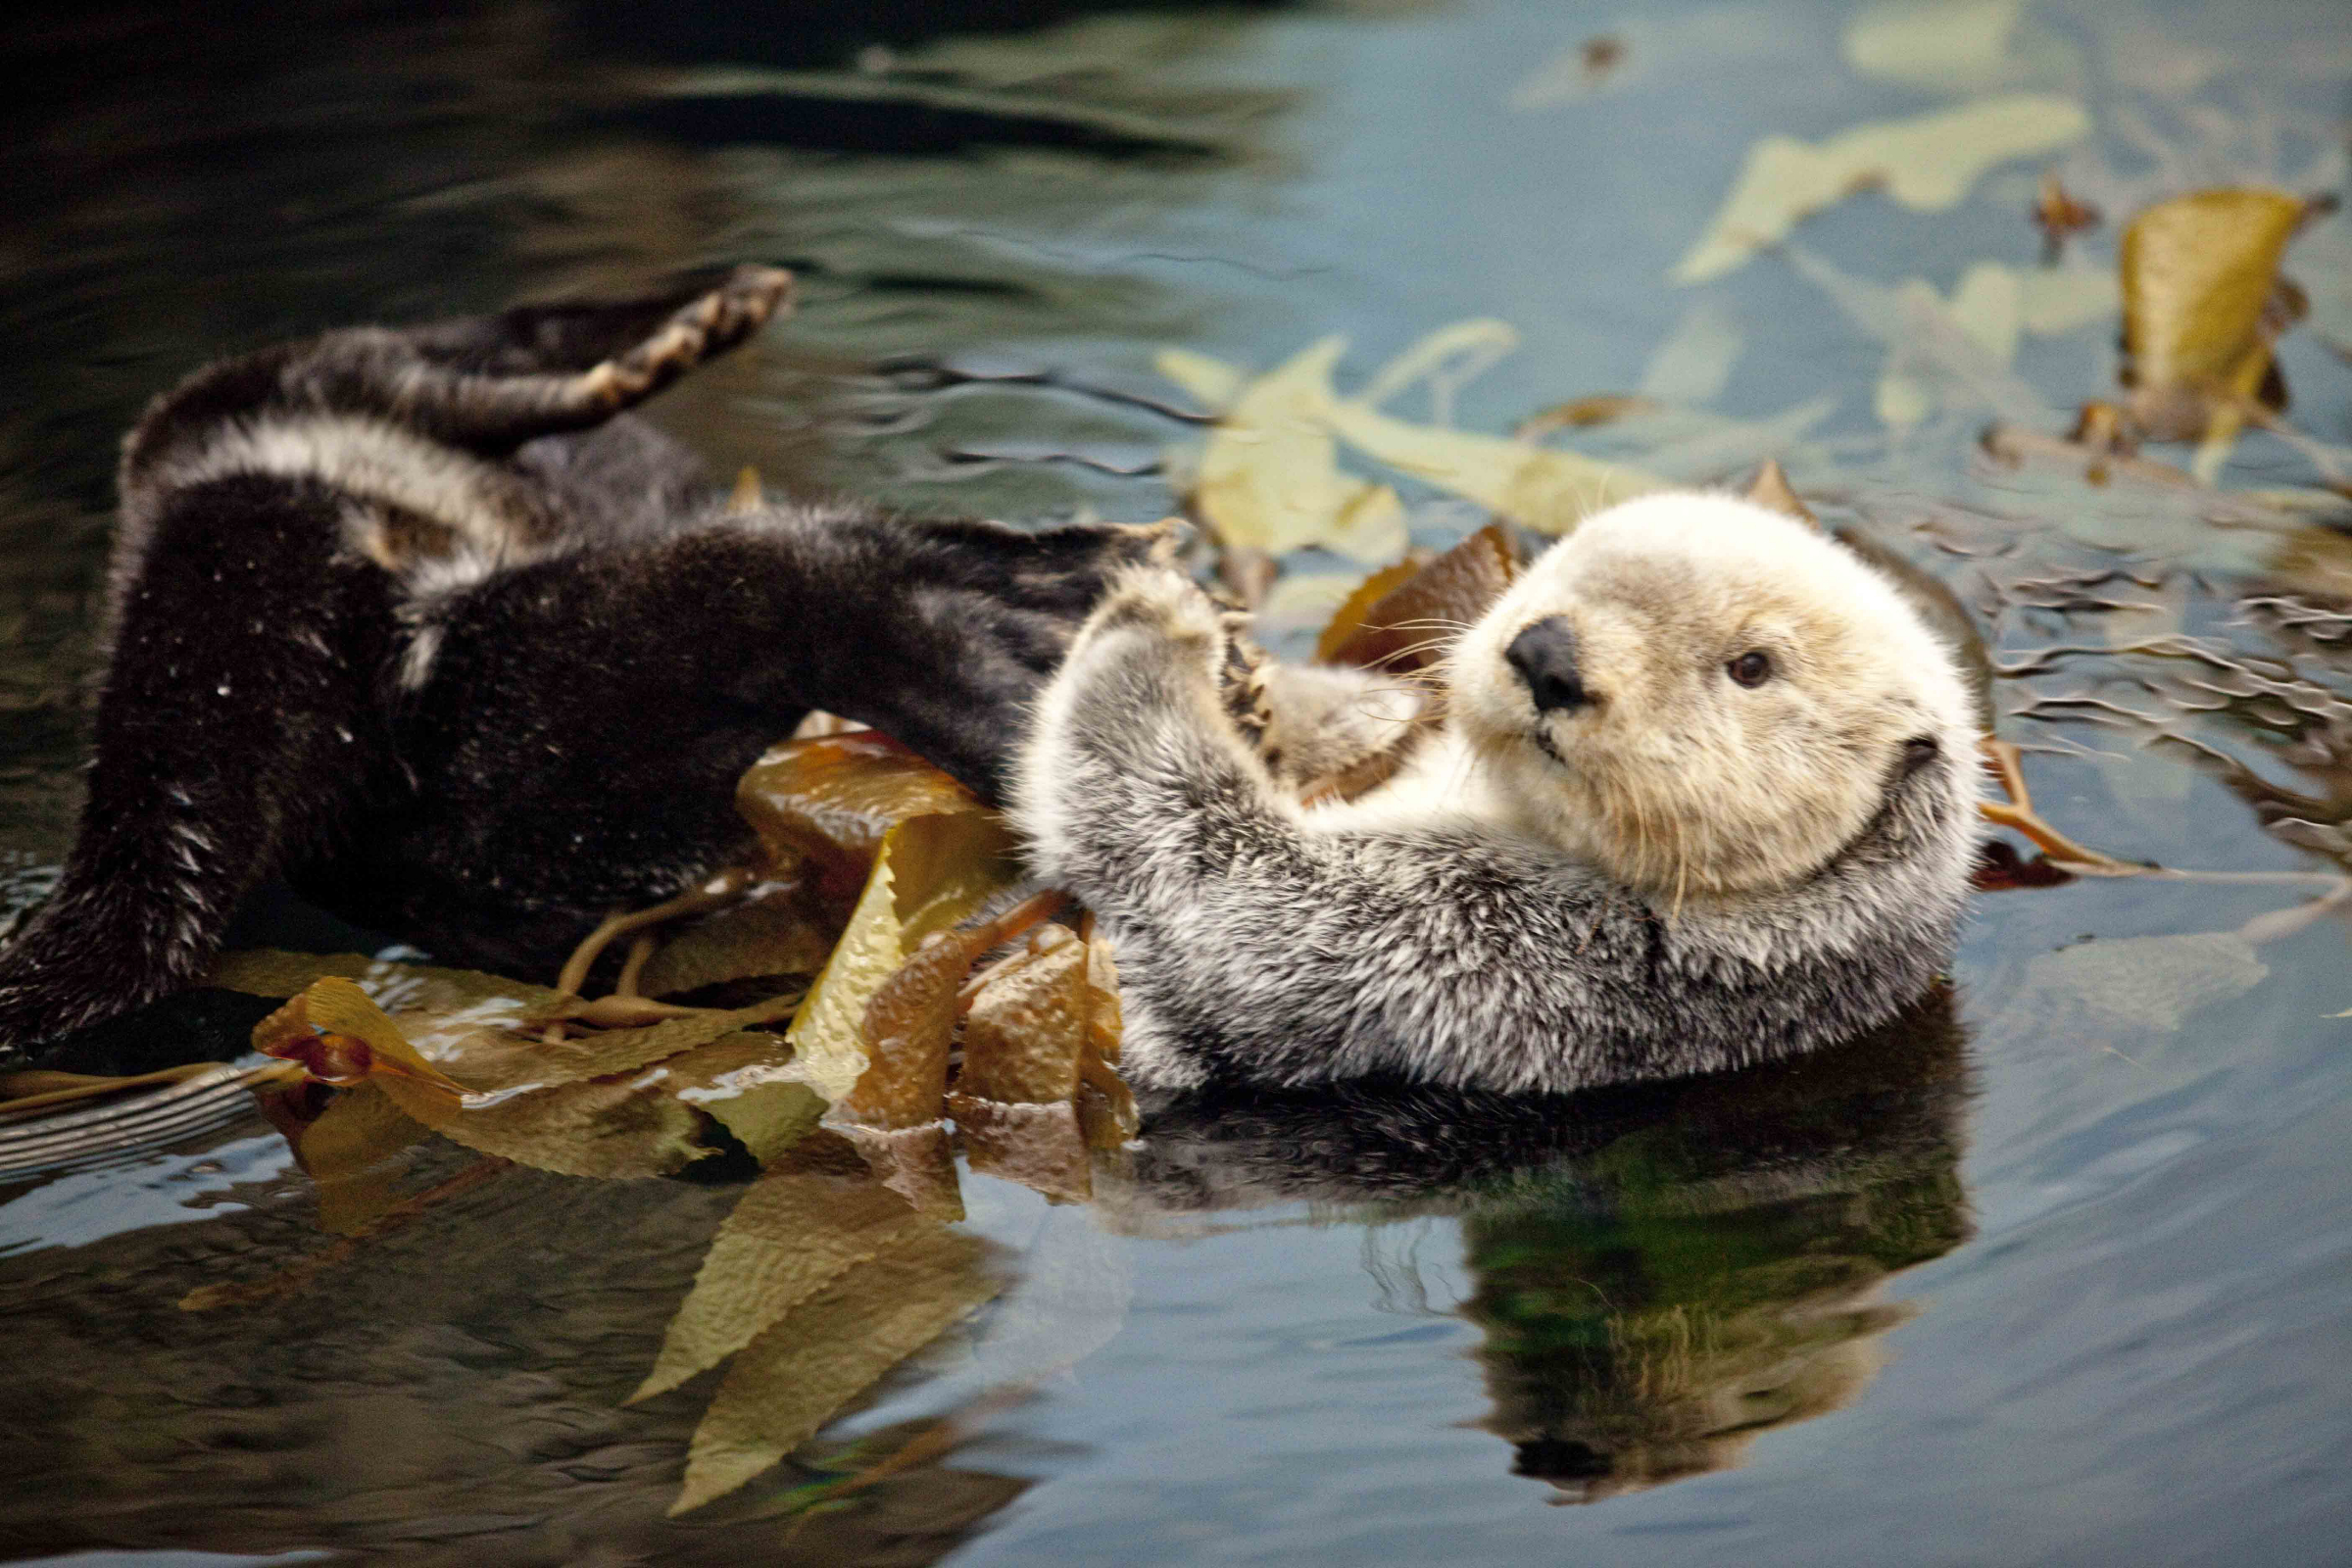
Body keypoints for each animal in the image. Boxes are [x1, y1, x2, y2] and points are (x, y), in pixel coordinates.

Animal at [1013, 492, 1983, 1094]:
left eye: (1753, 667)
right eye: (1562, 562)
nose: (1549, 656)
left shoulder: (1497, 942)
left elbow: (1215, 881)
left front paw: (1156, 622)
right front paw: (1253, 674)